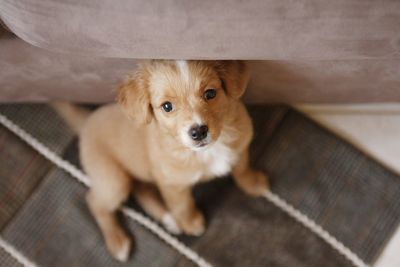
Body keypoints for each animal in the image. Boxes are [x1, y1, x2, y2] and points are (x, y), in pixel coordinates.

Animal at [52, 60, 268, 262]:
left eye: (210, 93)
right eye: (167, 106)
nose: (198, 132)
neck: (207, 150)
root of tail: (86, 122)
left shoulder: (240, 147)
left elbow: (242, 167)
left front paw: (252, 183)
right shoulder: (172, 183)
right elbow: (183, 204)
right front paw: (191, 222)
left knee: (141, 191)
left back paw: (169, 219)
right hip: (114, 181)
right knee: (95, 202)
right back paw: (118, 241)